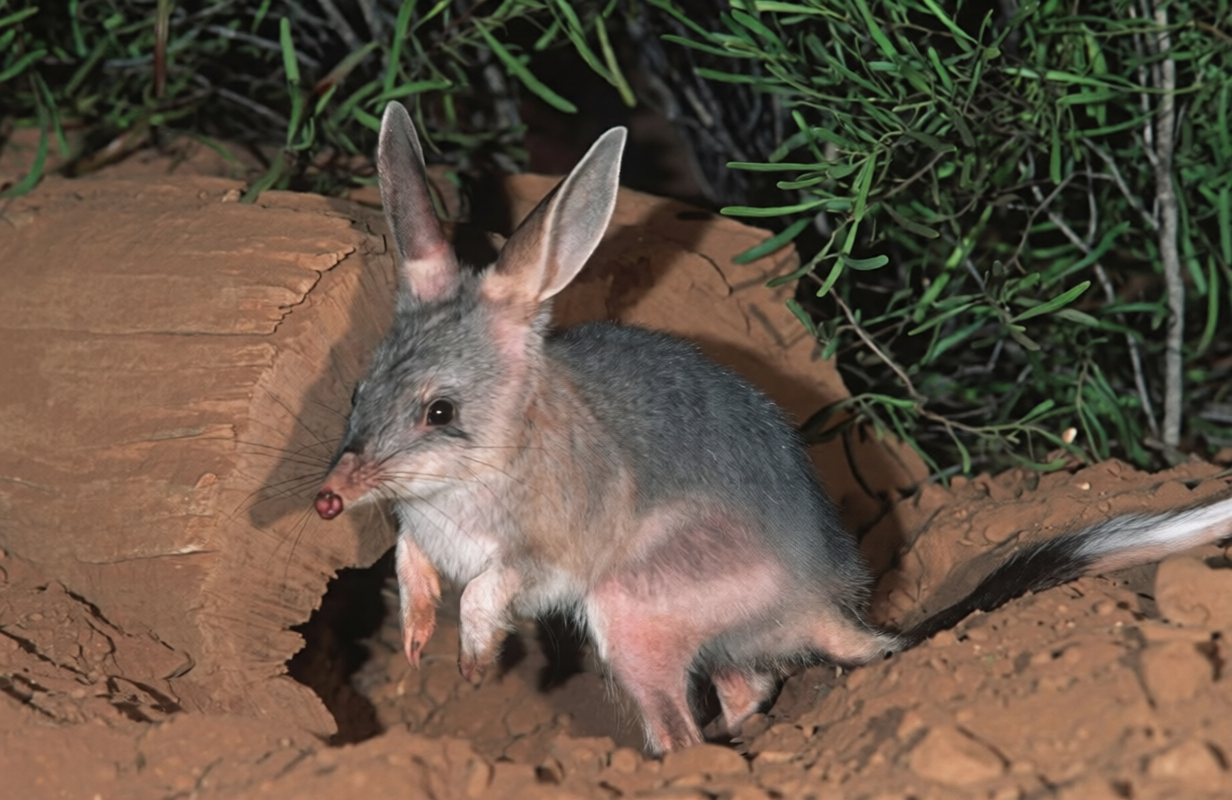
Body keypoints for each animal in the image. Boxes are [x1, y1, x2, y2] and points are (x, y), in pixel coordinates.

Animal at [314, 101, 1232, 754]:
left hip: (635, 607)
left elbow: (494, 588)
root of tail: (825, 605)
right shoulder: (419, 529)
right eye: (359, 390)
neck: (477, 469)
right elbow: (410, 562)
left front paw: (471, 660)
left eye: (441, 412)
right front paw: (416, 640)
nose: (326, 499)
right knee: (749, 687)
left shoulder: (544, 554)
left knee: (684, 726)